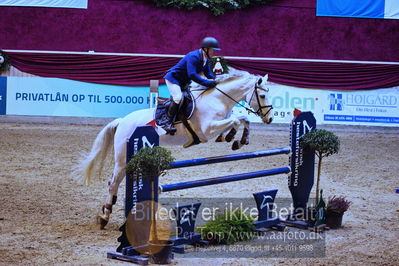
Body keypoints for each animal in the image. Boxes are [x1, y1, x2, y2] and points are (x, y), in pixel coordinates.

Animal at [81, 67, 276, 228]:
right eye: (263, 96)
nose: (270, 119)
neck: (217, 99)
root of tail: (122, 121)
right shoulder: (207, 130)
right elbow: (236, 120)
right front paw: (230, 137)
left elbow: (243, 119)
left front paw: (238, 140)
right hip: (123, 158)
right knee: (113, 182)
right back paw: (105, 217)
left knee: (117, 181)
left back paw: (109, 214)